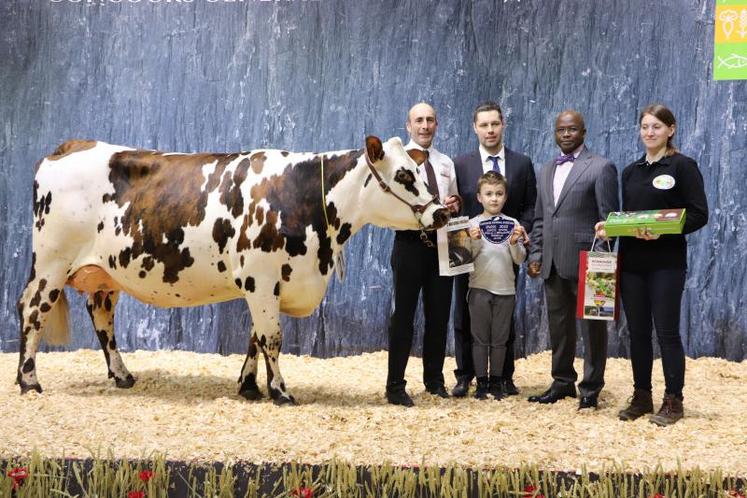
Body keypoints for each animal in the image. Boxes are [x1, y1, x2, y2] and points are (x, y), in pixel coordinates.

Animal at [16, 136, 450, 404]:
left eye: (415, 171)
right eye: (404, 175)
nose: (442, 212)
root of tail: (68, 147)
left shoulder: (267, 284)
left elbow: (254, 337)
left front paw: (249, 386)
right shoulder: (261, 278)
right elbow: (271, 337)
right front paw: (281, 392)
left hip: (105, 275)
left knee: (101, 316)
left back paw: (122, 376)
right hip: (51, 263)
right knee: (32, 312)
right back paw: (29, 381)